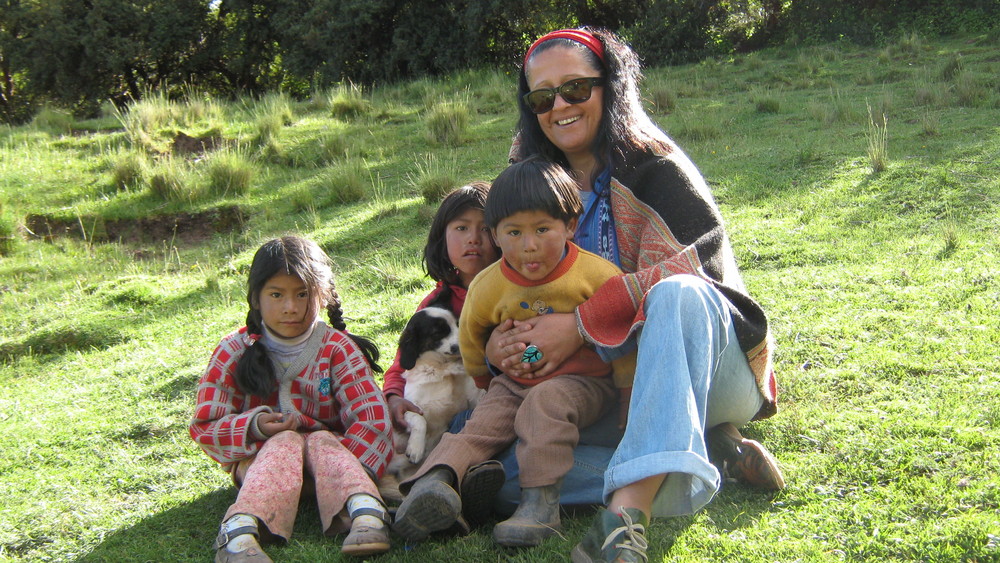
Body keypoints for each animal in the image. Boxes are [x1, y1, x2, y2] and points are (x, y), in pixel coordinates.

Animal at [388, 286, 482, 480]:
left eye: (458, 324)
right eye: (438, 333)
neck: (442, 370)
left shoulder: (470, 400)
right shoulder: (410, 407)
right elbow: (419, 420)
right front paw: (415, 448)